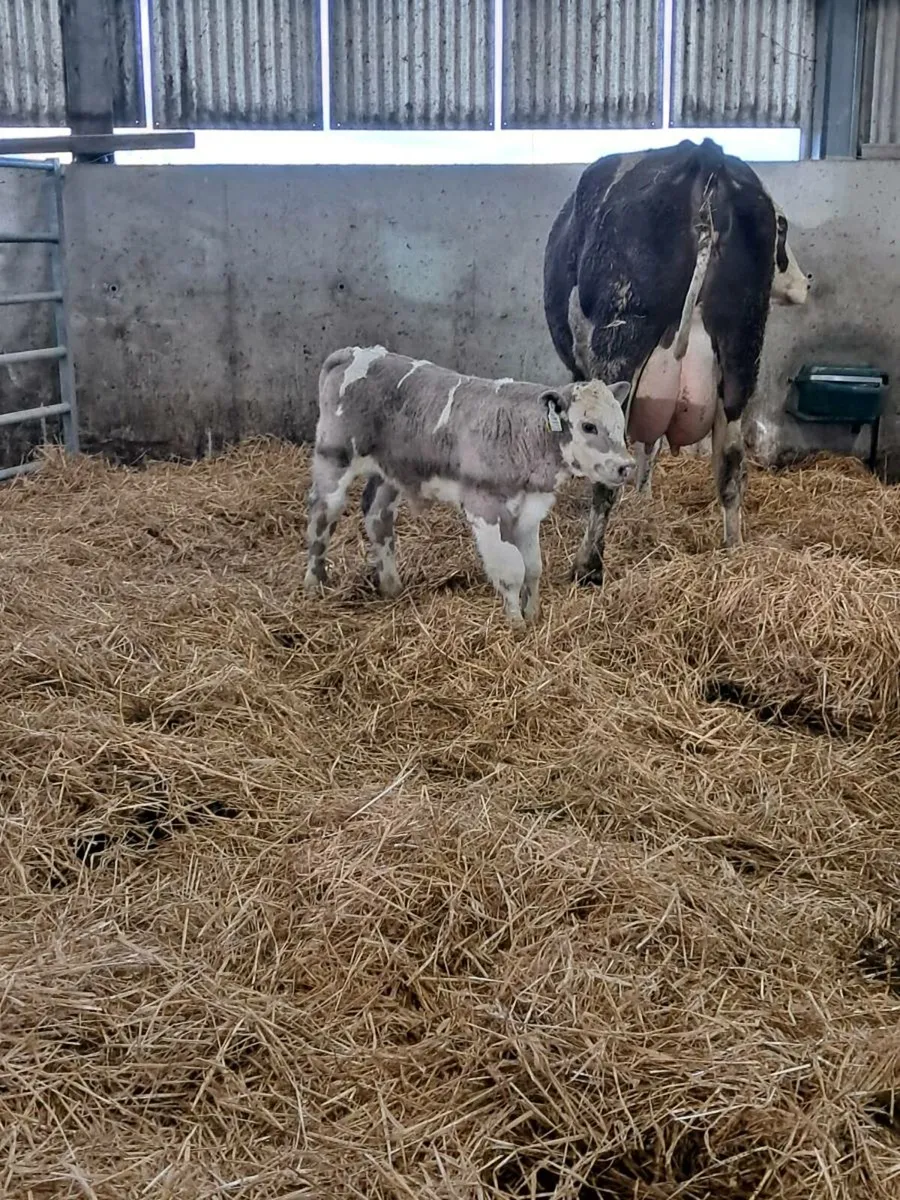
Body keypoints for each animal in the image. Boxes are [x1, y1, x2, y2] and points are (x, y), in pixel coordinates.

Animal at [303, 346, 634, 626]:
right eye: (588, 426)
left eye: (621, 424)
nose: (626, 465)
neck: (522, 435)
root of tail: (353, 352)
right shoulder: (484, 507)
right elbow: (511, 570)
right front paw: (516, 625)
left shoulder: (529, 511)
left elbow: (533, 567)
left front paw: (534, 615)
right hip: (334, 456)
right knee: (322, 515)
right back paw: (314, 584)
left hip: (390, 471)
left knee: (377, 516)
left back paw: (391, 586)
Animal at [543, 136, 811, 586]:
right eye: (783, 228)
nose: (807, 282)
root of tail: (706, 153)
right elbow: (651, 443)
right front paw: (645, 497)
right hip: (741, 356)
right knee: (731, 465)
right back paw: (734, 550)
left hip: (621, 340)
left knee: (607, 478)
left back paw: (588, 566)